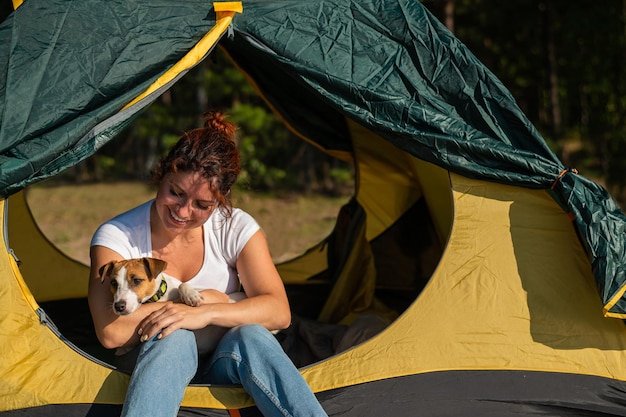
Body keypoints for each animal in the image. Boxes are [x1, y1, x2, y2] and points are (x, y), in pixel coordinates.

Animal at [98, 256, 245, 354]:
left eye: (137, 280)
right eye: (113, 283)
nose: (118, 306)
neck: (159, 297)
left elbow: (182, 284)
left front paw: (191, 295)